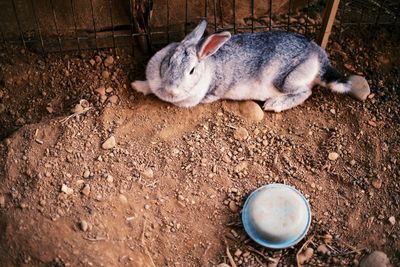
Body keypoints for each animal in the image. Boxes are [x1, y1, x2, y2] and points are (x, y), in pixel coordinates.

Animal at [131, 19, 368, 112]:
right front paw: (137, 85)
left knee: (305, 92)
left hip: (287, 80)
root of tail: (319, 56)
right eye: (168, 61)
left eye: (192, 71)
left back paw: (274, 104)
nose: (172, 90)